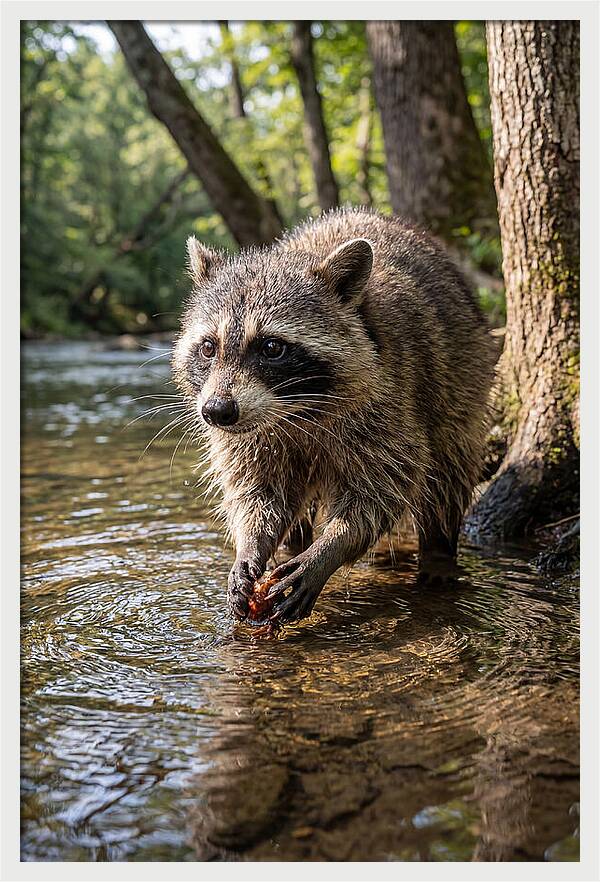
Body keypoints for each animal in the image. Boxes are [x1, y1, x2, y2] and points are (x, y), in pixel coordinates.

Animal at [172, 208, 495, 624]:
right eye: (209, 348)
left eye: (271, 347)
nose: (216, 412)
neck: (295, 409)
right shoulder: (249, 435)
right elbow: (258, 491)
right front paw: (251, 543)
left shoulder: (388, 401)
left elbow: (383, 489)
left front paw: (331, 548)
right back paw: (292, 544)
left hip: (462, 377)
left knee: (448, 473)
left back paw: (438, 551)